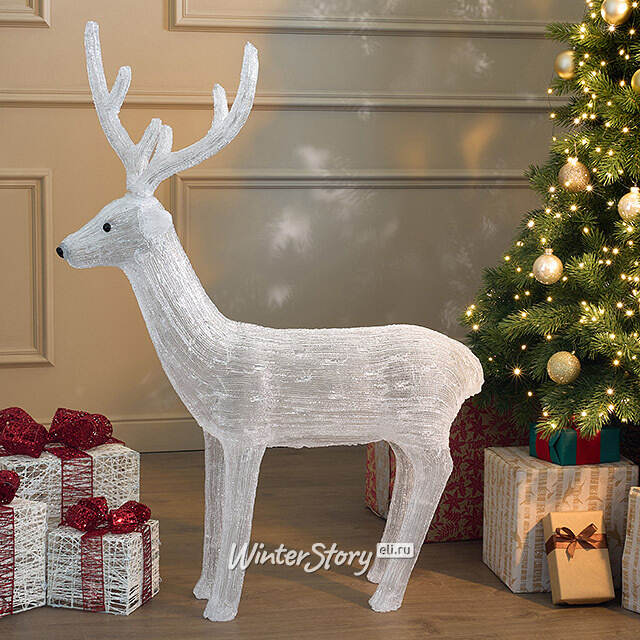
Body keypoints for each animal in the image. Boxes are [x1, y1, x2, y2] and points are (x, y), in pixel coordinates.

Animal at [57, 21, 484, 621]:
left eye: (110, 223)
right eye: (101, 210)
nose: (63, 248)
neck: (213, 356)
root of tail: (472, 368)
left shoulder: (247, 431)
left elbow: (236, 521)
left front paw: (220, 611)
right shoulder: (214, 434)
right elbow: (213, 518)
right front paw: (202, 589)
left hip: (427, 422)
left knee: (437, 475)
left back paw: (385, 597)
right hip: (401, 429)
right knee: (408, 483)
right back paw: (377, 573)